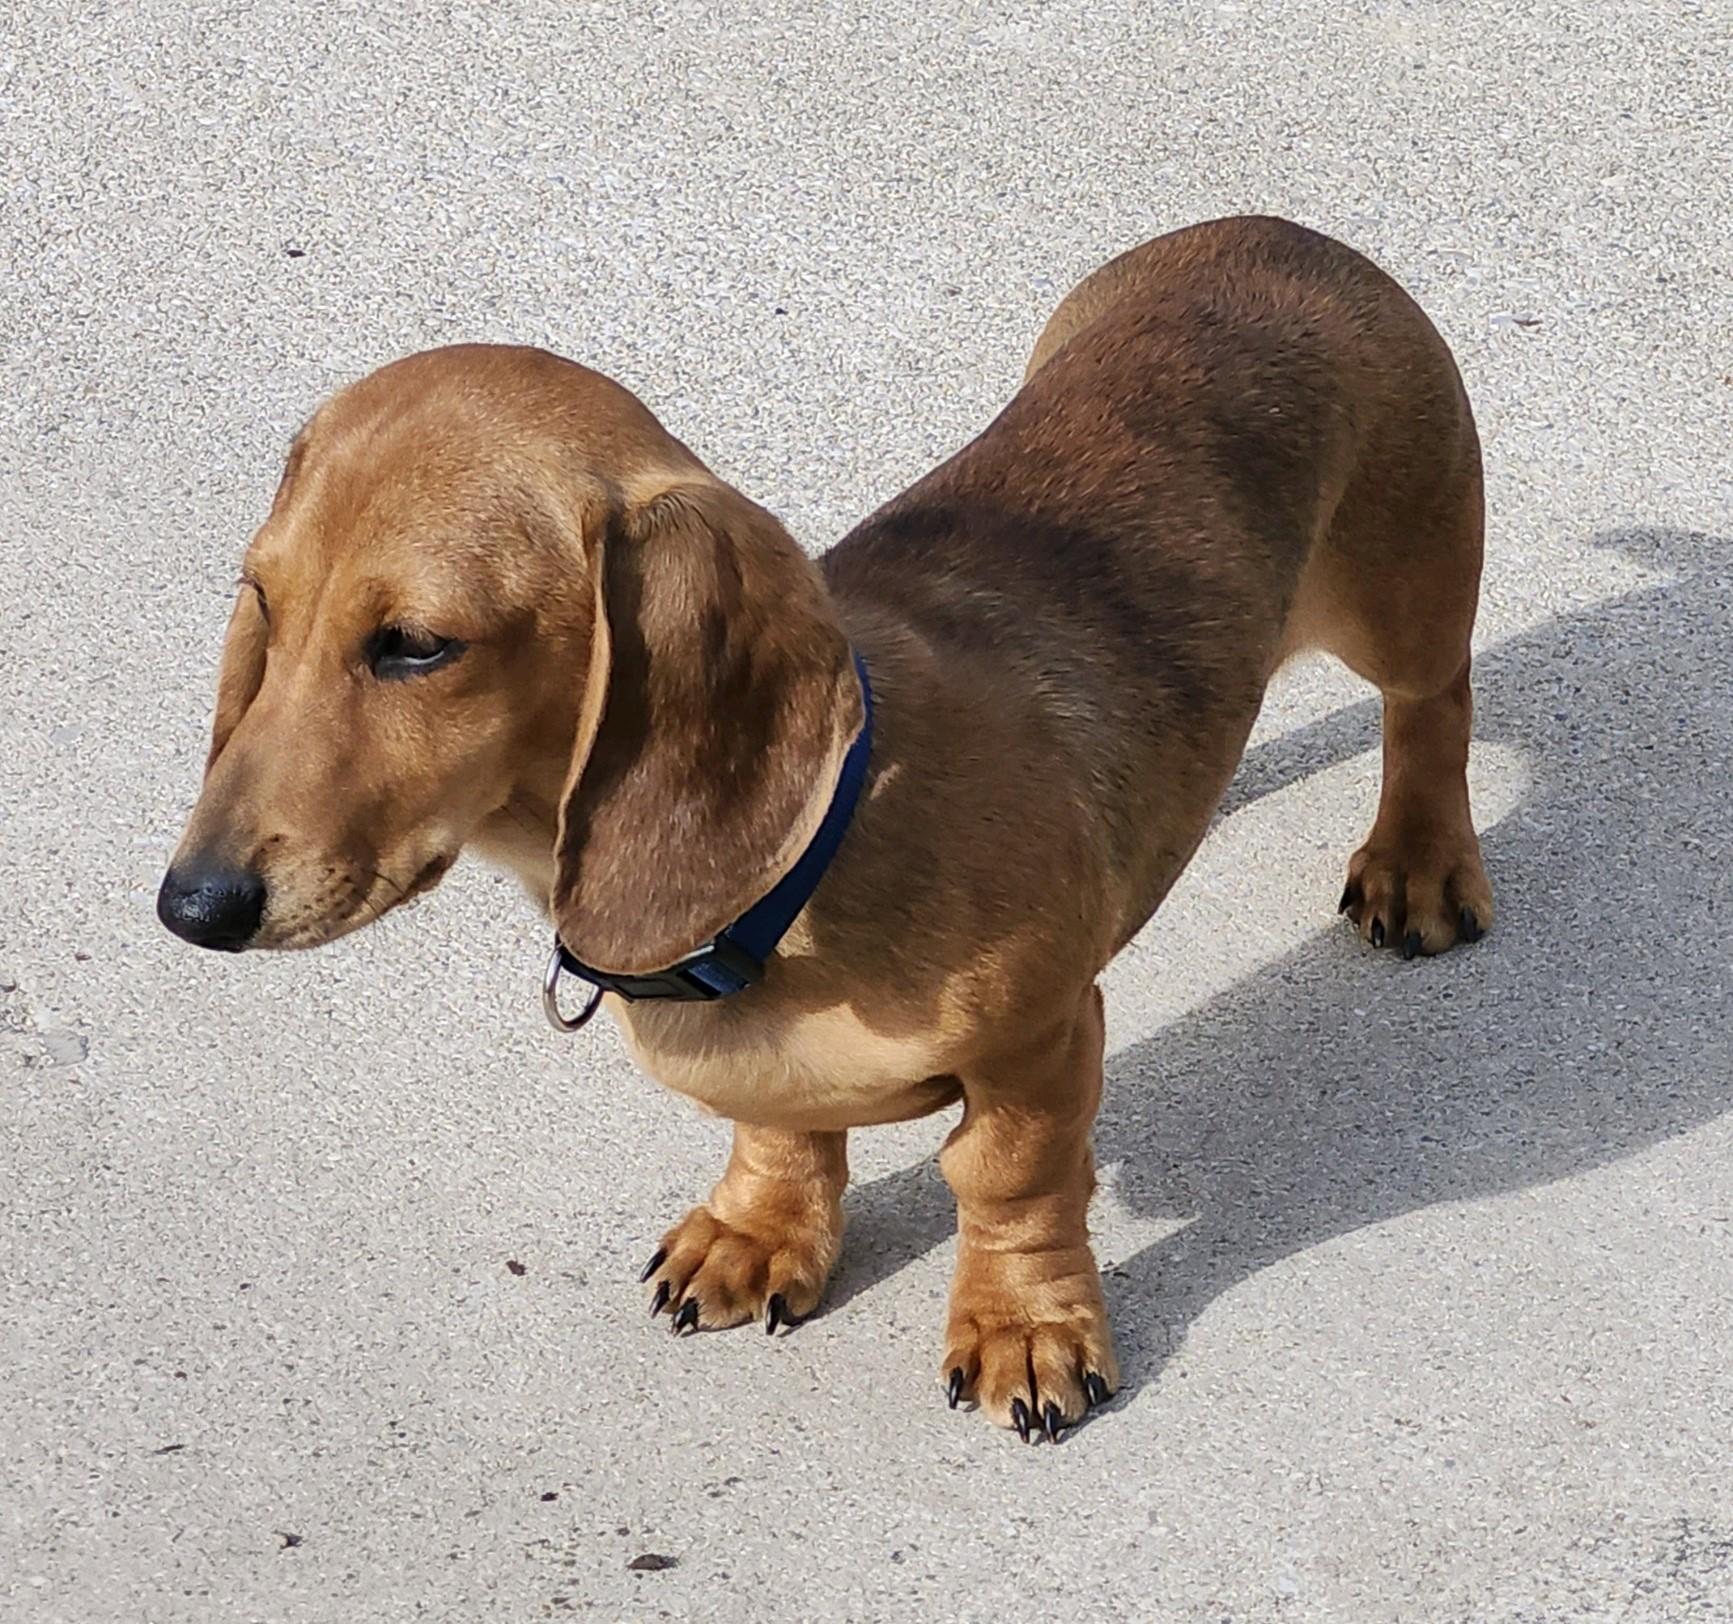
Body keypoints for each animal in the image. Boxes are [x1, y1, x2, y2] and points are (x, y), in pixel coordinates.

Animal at [159, 216, 1492, 1442]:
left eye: (417, 645)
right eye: (263, 599)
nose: (191, 908)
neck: (813, 867)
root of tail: (1276, 234)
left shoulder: (1041, 1043)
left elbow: (1008, 1181)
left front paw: (1022, 1326)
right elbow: (780, 1128)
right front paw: (757, 1231)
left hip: (1403, 594)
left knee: (1429, 704)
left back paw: (1418, 863)